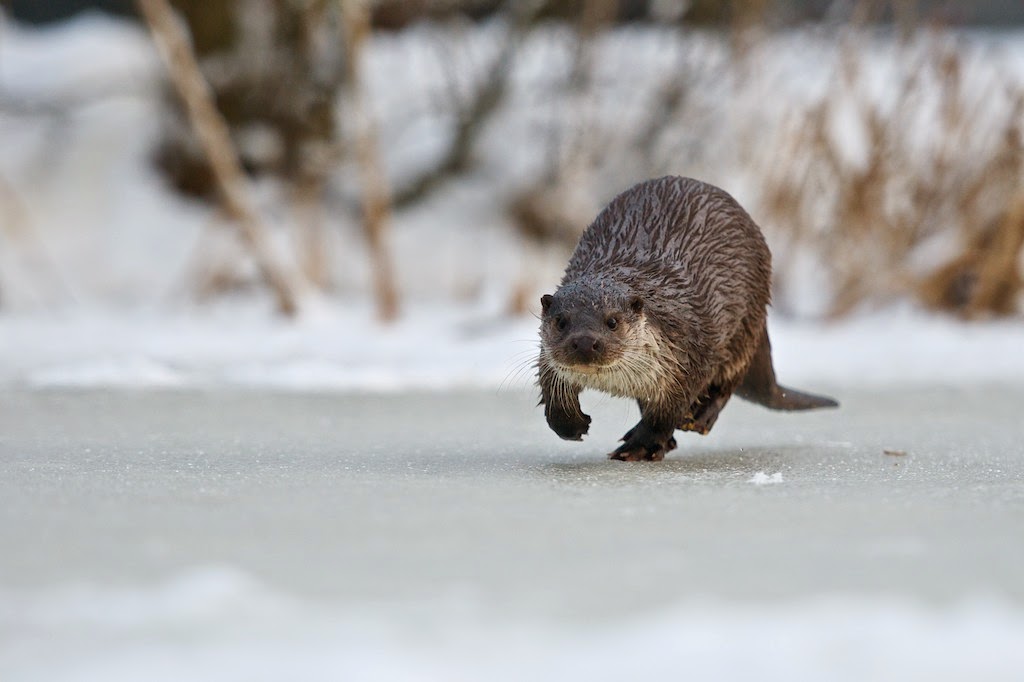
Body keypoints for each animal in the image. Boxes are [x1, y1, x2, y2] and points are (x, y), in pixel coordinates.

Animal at [537, 176, 837, 461]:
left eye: (612, 322)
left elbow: (668, 410)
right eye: (561, 322)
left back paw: (699, 418)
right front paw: (572, 424)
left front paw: (640, 447)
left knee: (730, 378)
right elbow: (552, 395)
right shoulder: (547, 358)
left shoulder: (691, 354)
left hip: (746, 322)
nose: (585, 342)